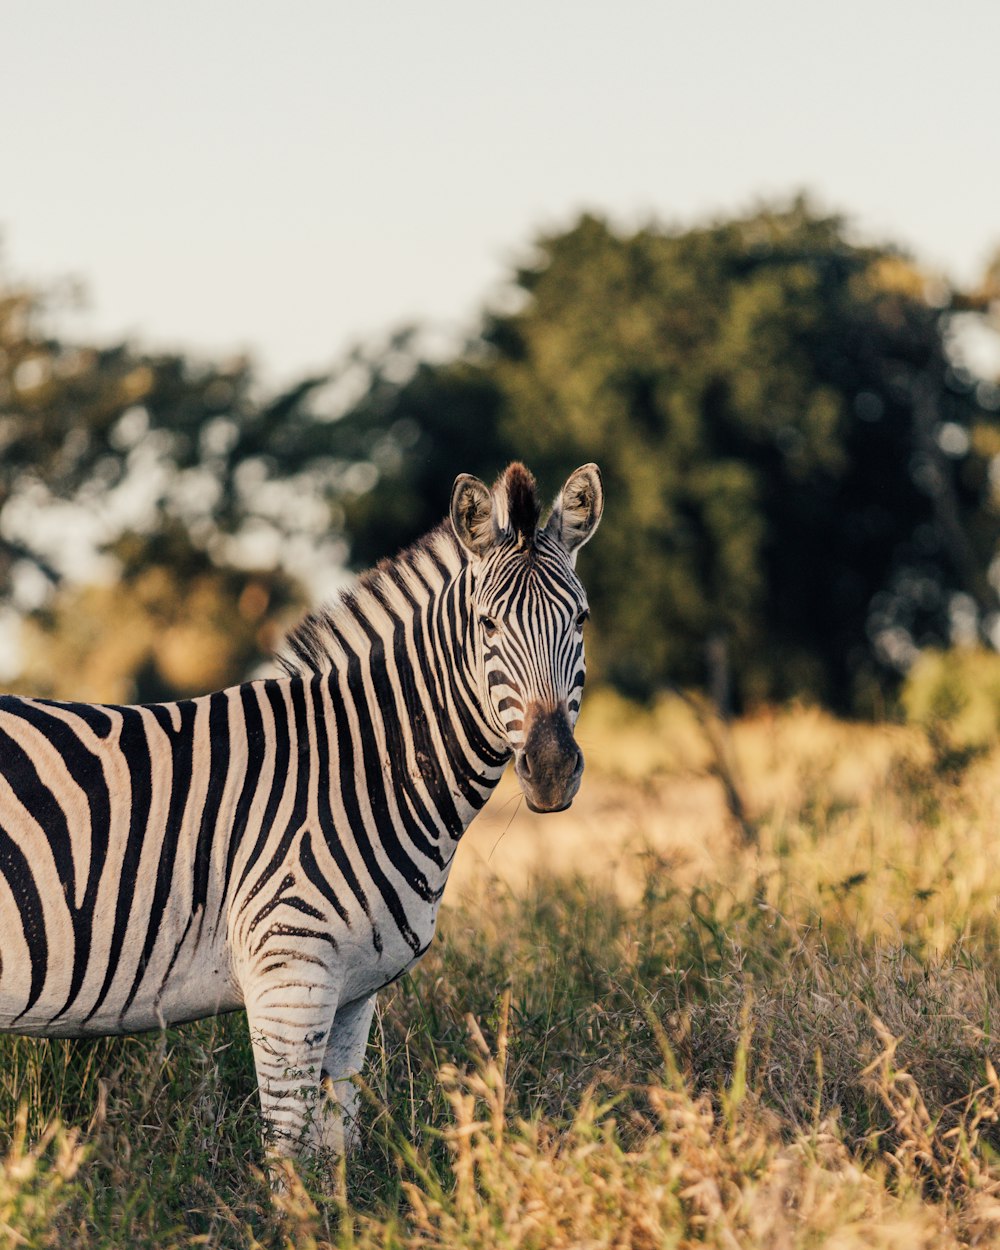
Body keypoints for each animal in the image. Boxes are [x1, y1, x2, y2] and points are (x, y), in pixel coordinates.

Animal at [0, 465, 602, 1165]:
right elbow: (286, 1152)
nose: (552, 769)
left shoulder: (352, 992)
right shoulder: (289, 977)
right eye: (485, 627)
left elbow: (340, 1141)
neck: (358, 770)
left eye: (582, 619)